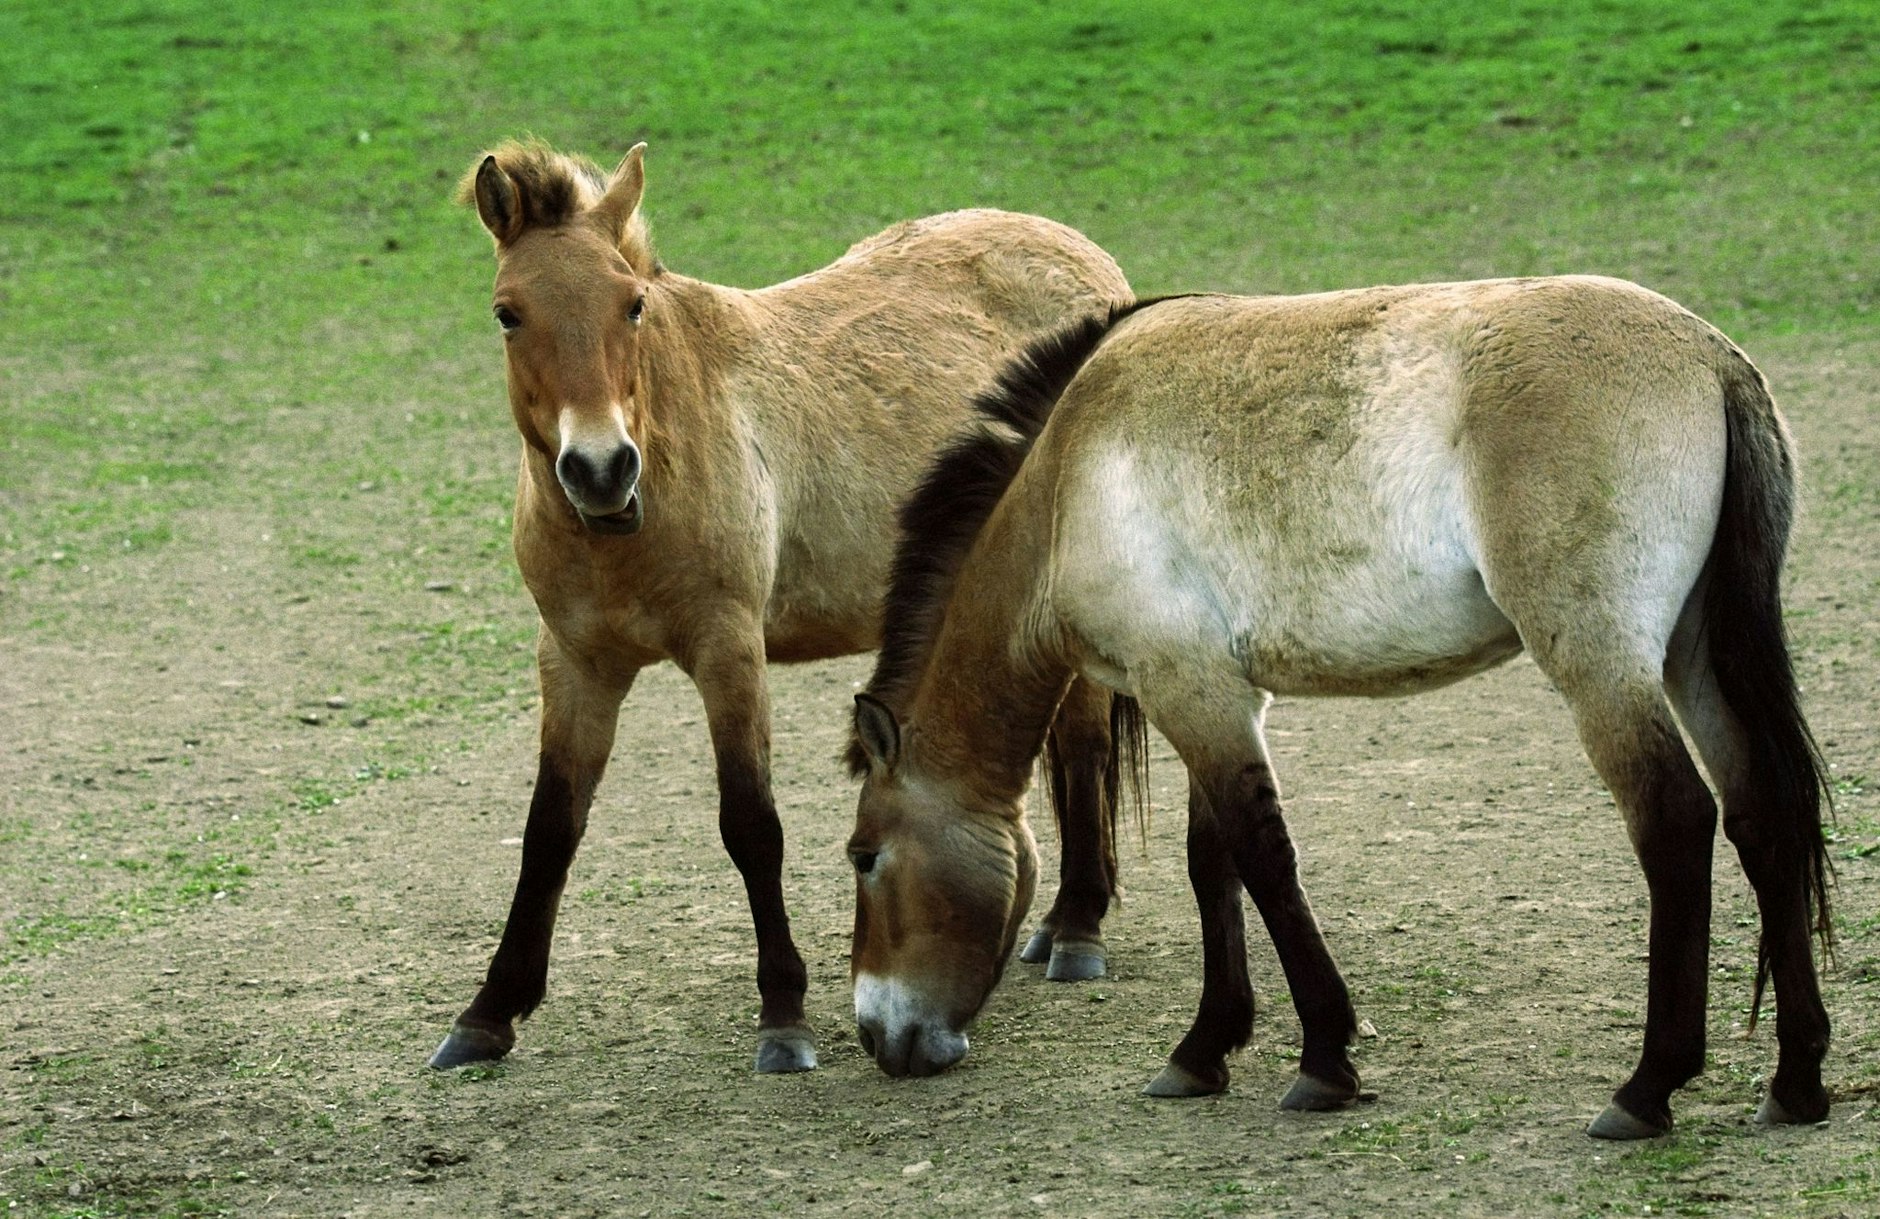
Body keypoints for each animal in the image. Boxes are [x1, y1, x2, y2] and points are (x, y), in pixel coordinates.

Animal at [428, 138, 1133, 1075]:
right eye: (508, 313)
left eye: (631, 304)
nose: (601, 467)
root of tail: (1085, 258)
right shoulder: (575, 663)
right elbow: (549, 831)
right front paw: (487, 1012)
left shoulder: (729, 651)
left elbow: (751, 824)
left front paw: (784, 1016)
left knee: (1085, 744)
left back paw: (1078, 926)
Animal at [844, 280, 1834, 1139]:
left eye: (863, 856)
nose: (877, 1034)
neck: (1064, 483)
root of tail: (1710, 357)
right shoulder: (1216, 691)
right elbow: (1214, 864)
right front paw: (1204, 1050)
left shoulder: (1187, 689)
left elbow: (1263, 860)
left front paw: (1323, 1059)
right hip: (1694, 655)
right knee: (1761, 815)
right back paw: (1796, 1080)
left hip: (1603, 663)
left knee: (1676, 820)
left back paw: (1648, 1085)